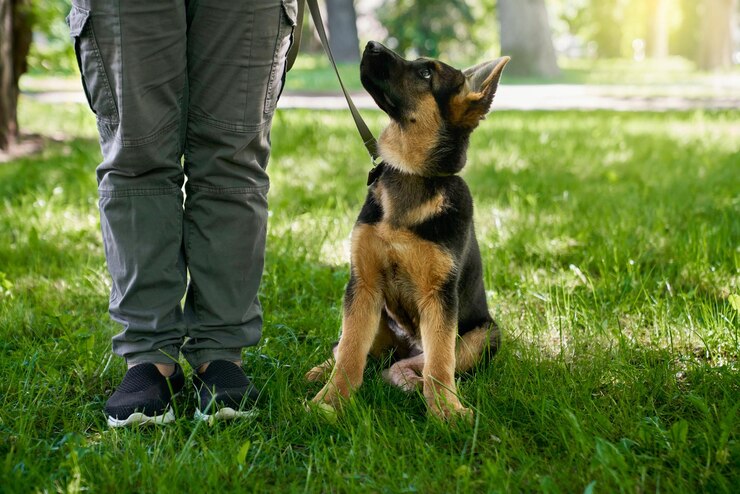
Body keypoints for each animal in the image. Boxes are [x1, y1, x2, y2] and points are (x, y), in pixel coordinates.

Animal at [306, 43, 508, 420]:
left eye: (426, 73)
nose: (371, 45)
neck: (411, 173)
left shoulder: (439, 297)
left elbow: (440, 363)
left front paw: (446, 411)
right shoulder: (363, 284)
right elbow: (351, 351)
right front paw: (331, 401)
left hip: (485, 333)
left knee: (418, 364)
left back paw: (410, 380)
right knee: (353, 351)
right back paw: (323, 371)